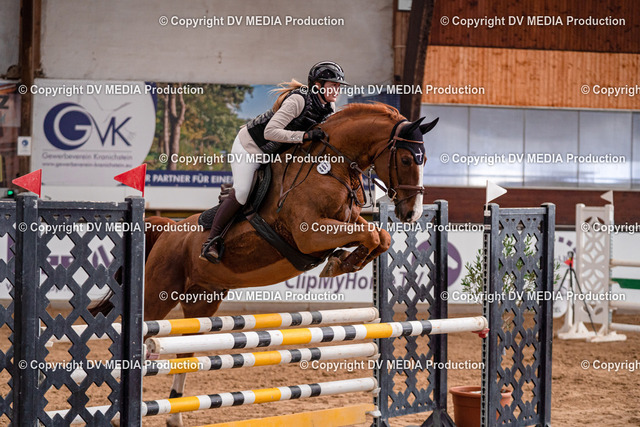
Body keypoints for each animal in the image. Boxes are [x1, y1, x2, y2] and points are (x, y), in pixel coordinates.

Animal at [94, 102, 438, 427]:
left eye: (424, 160)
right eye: (406, 160)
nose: (412, 214)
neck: (330, 168)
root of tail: (167, 228)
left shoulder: (345, 224)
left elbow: (380, 237)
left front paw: (343, 262)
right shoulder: (309, 234)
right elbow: (371, 234)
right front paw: (340, 263)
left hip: (202, 302)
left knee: (187, 350)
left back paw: (175, 415)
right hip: (157, 295)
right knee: (140, 334)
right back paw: (120, 413)